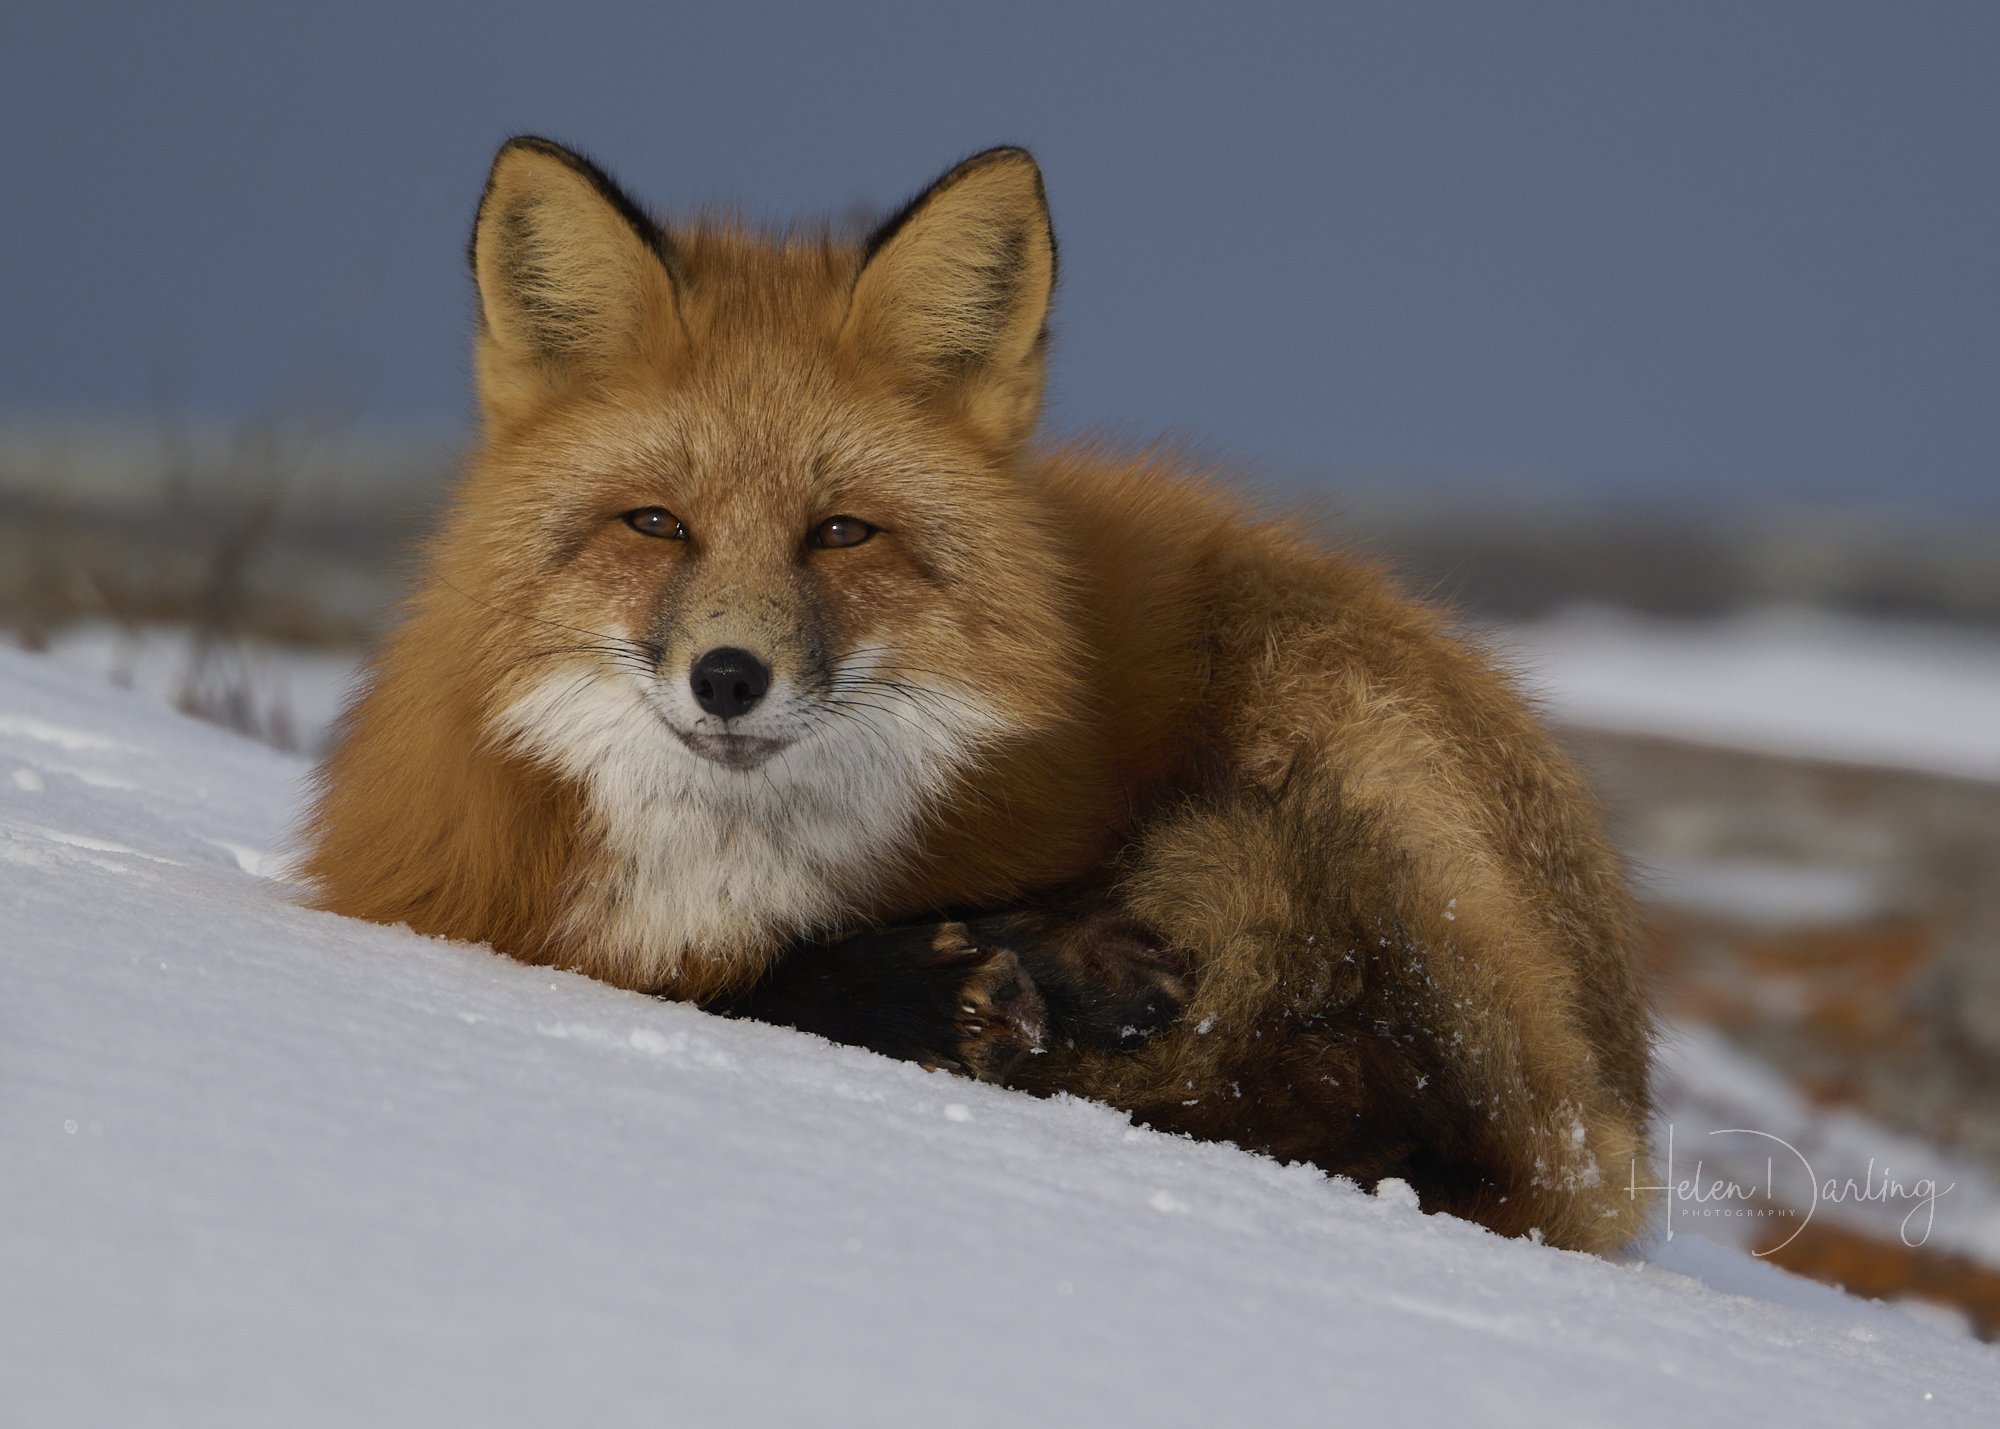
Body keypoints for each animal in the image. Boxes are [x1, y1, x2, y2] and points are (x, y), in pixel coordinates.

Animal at [303, 136, 1655, 1253]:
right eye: (656, 524)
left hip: (1336, 726)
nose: (729, 678)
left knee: (1429, 1122)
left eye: (839, 532)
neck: (718, 873)